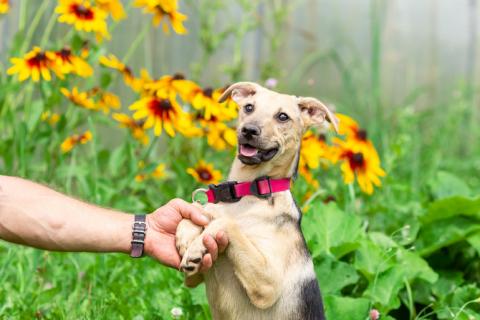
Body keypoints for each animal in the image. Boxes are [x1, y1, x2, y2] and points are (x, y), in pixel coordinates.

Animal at [175, 83, 338, 320]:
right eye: (249, 107)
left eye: (282, 116)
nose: (249, 130)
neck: (244, 192)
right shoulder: (193, 277)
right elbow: (197, 209)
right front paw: (186, 235)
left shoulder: (268, 284)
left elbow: (225, 223)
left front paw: (198, 246)